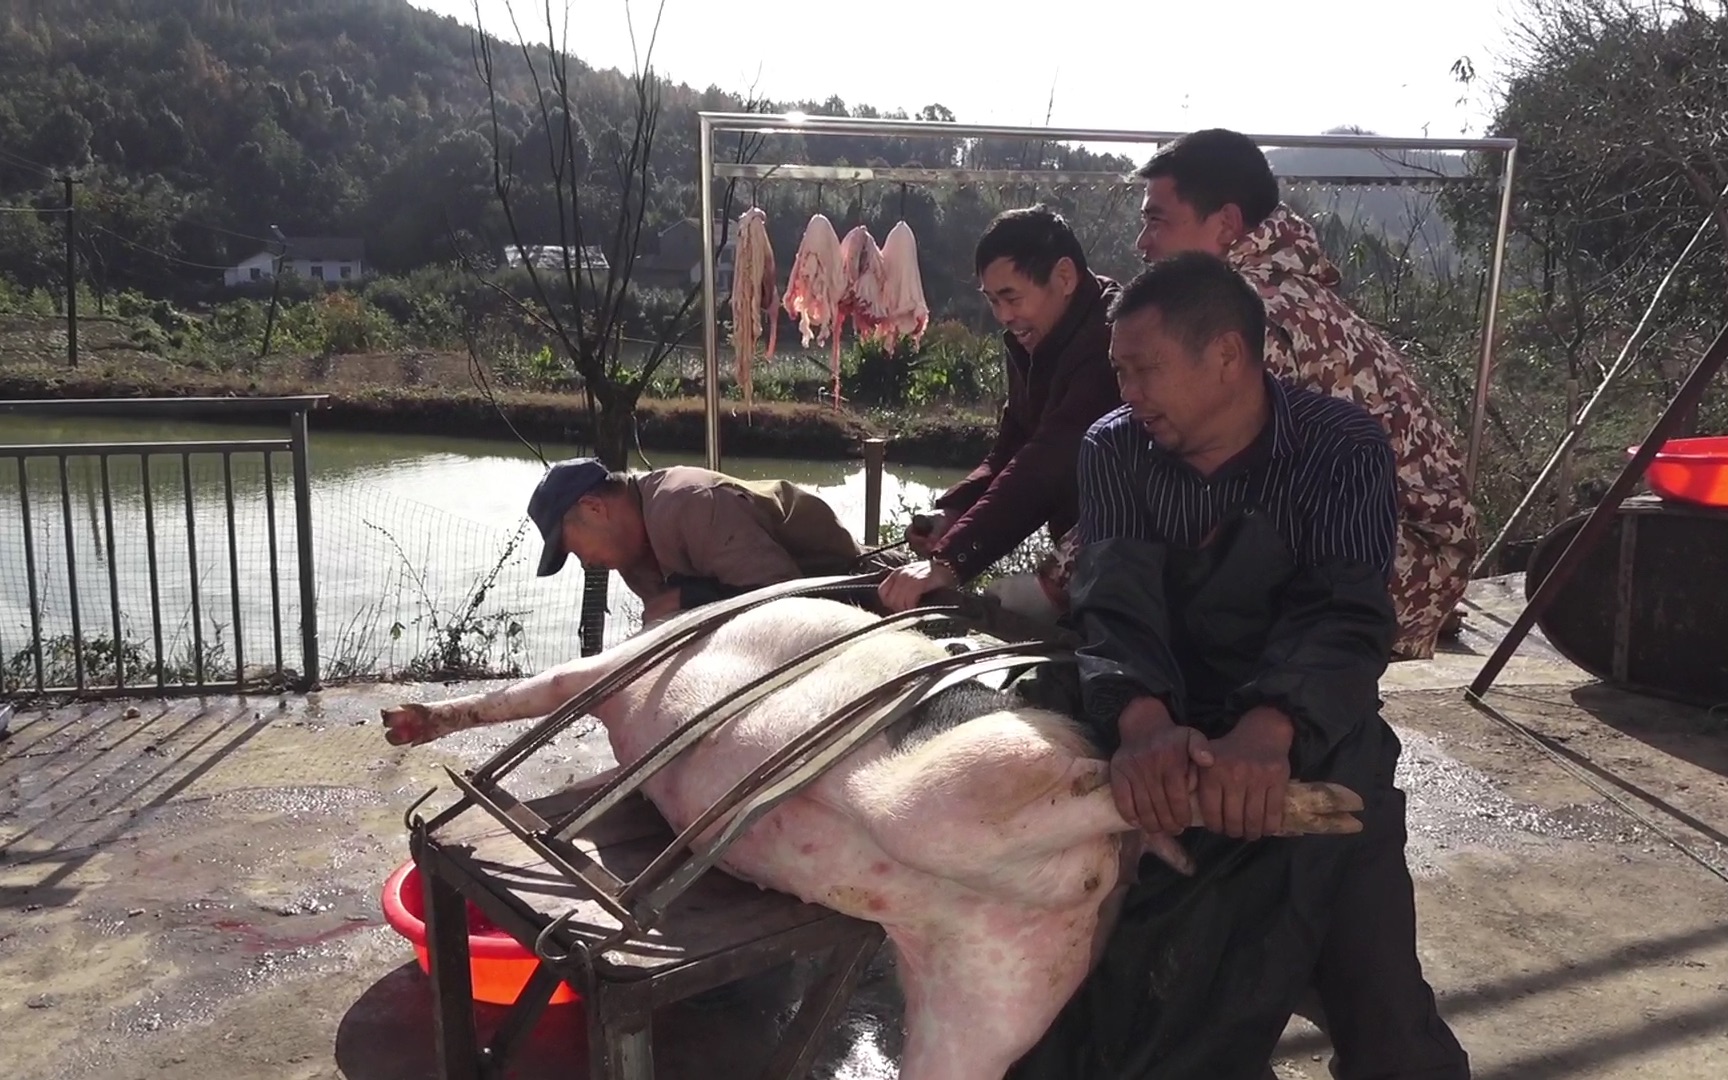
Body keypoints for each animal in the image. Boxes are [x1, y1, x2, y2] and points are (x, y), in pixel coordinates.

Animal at [381, 594, 1361, 1071]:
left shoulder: (621, 660)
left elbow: (542, 688)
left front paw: (403, 727)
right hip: (998, 983)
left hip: (952, 785)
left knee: (1100, 795)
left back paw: (1322, 806)